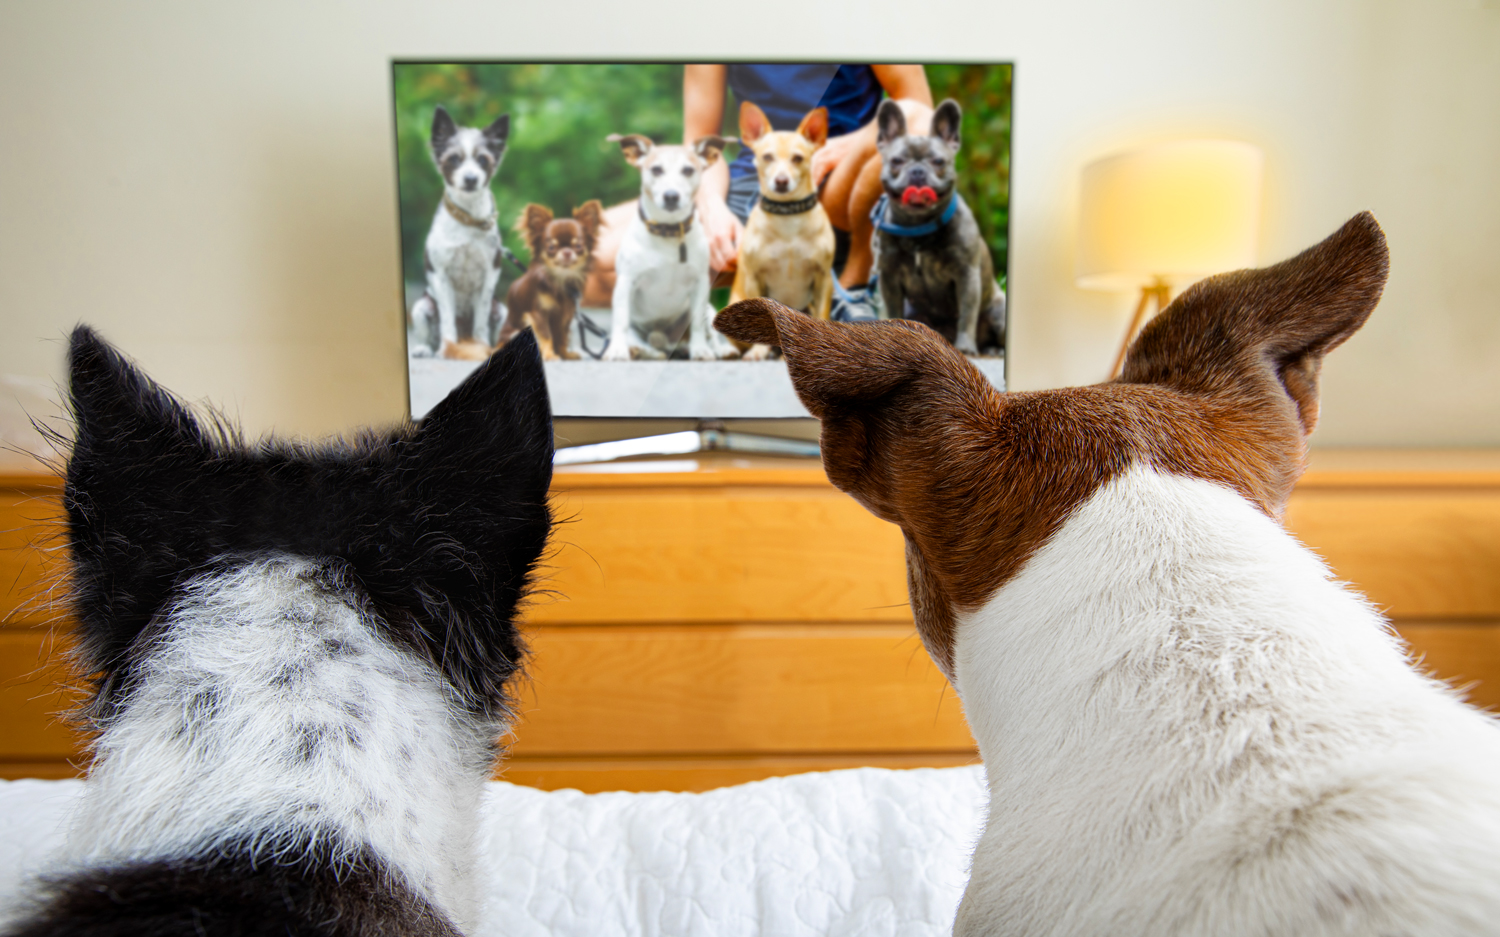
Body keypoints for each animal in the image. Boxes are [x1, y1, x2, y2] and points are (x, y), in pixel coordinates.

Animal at [411, 107, 510, 358]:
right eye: (454, 158)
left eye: (483, 159)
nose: (471, 179)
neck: (468, 220)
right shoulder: (440, 275)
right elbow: (447, 318)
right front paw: (447, 348)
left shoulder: (489, 275)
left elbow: (481, 320)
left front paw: (481, 345)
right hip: (420, 307)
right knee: (427, 335)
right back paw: (425, 349)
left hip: (502, 311)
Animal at [498, 202, 603, 359]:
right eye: (551, 247)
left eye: (578, 246)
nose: (567, 251)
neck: (560, 279)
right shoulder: (539, 313)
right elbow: (546, 335)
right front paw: (549, 355)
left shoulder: (564, 315)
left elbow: (561, 336)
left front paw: (565, 354)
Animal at [729, 103, 840, 361]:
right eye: (767, 157)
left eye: (798, 158)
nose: (781, 180)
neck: (788, 218)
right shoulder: (754, 277)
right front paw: (758, 351)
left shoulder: (823, 278)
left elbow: (822, 315)